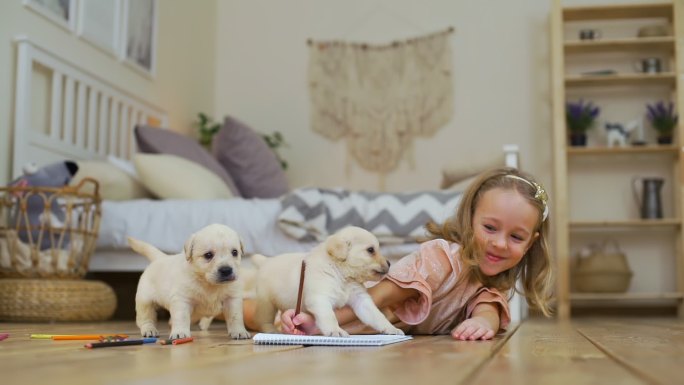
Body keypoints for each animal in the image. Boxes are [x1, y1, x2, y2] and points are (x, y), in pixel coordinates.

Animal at [252, 225, 404, 336]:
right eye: (371, 250)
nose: (390, 263)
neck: (342, 274)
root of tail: (265, 261)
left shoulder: (361, 300)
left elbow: (377, 316)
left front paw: (391, 328)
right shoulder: (320, 298)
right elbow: (329, 316)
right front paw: (335, 330)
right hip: (266, 304)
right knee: (264, 320)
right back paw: (271, 330)